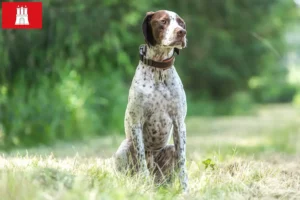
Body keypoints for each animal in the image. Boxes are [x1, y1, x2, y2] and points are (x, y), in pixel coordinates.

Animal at [113, 9, 189, 192]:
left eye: (181, 23)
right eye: (163, 21)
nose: (182, 32)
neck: (159, 70)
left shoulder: (179, 123)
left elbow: (183, 165)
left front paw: (186, 191)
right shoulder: (136, 123)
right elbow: (142, 161)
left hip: (170, 152)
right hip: (124, 148)